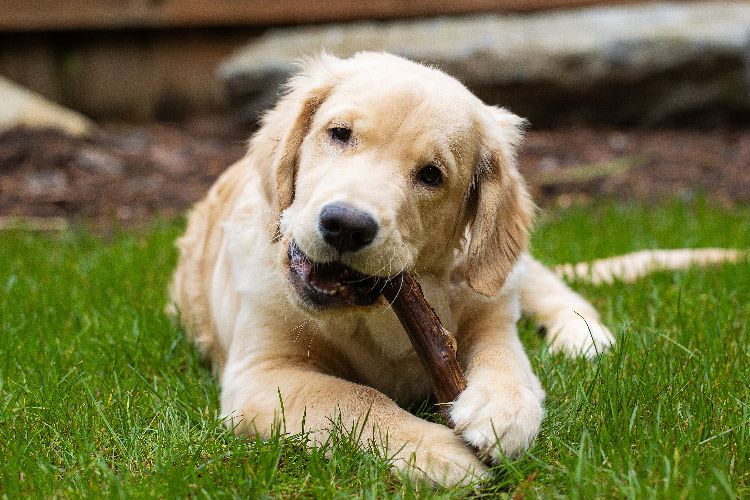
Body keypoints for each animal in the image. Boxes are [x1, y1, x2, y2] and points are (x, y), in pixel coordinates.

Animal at [169, 52, 740, 486]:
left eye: (431, 175)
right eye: (339, 133)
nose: (346, 226)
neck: (374, 314)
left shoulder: (490, 313)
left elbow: (506, 358)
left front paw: (504, 411)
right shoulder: (262, 376)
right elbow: (355, 398)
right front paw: (440, 453)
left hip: (510, 269)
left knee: (556, 291)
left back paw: (584, 337)